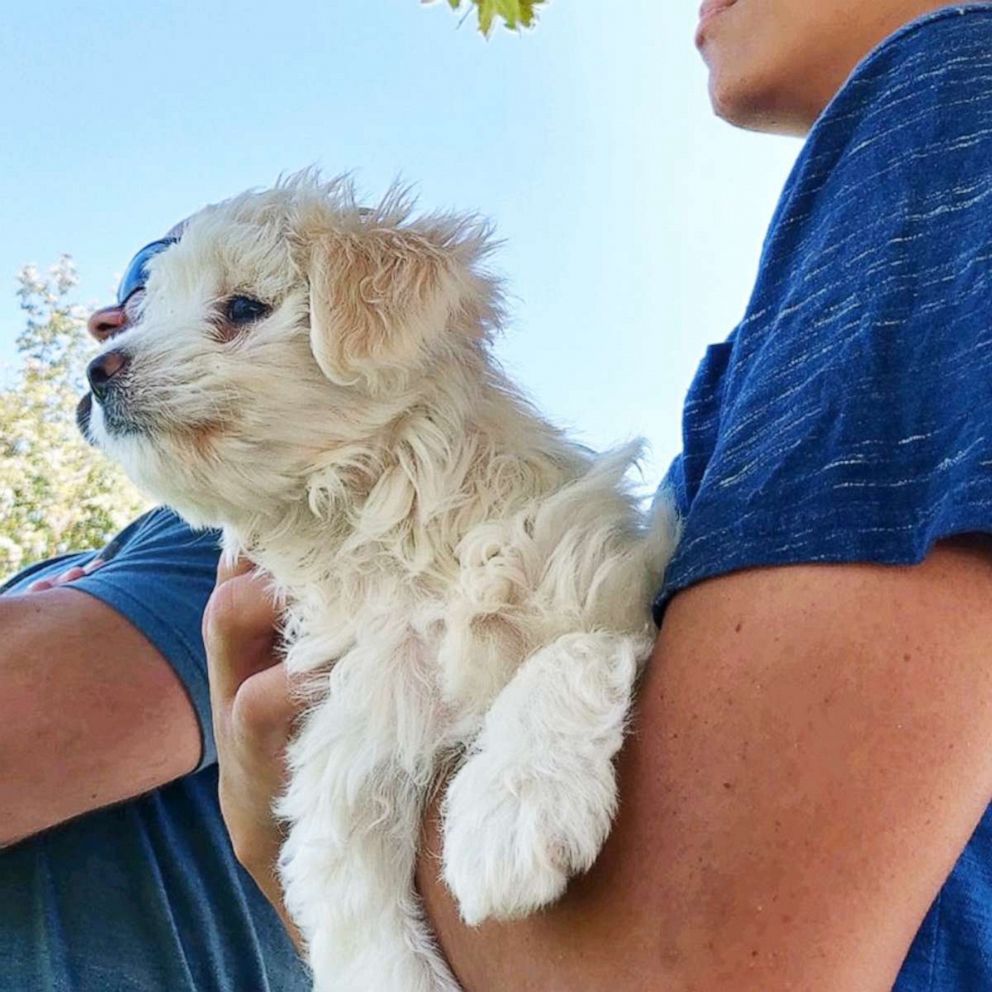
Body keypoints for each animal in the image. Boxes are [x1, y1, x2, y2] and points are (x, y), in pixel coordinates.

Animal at [85, 176, 680, 992]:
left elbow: (568, 652)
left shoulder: (592, 565)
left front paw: (513, 807)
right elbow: (353, 902)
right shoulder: (358, 719)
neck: (377, 520)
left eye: (242, 308)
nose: (96, 370)